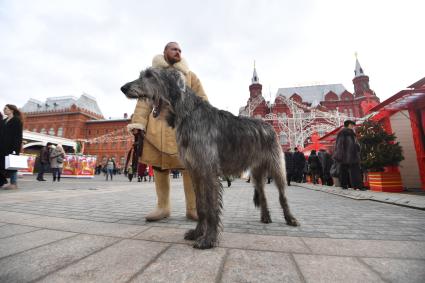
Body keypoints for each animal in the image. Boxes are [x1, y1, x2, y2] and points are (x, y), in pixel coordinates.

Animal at [119, 67, 298, 250]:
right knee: (262, 193)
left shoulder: (208, 171)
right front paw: (197, 232)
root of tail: (269, 125)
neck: (188, 114)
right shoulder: (195, 171)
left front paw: (208, 239)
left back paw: (290, 218)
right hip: (257, 173)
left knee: (282, 195)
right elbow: (201, 205)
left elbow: (212, 207)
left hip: (276, 167)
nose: (123, 88)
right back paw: (266, 217)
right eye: (142, 74)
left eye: (150, 75)